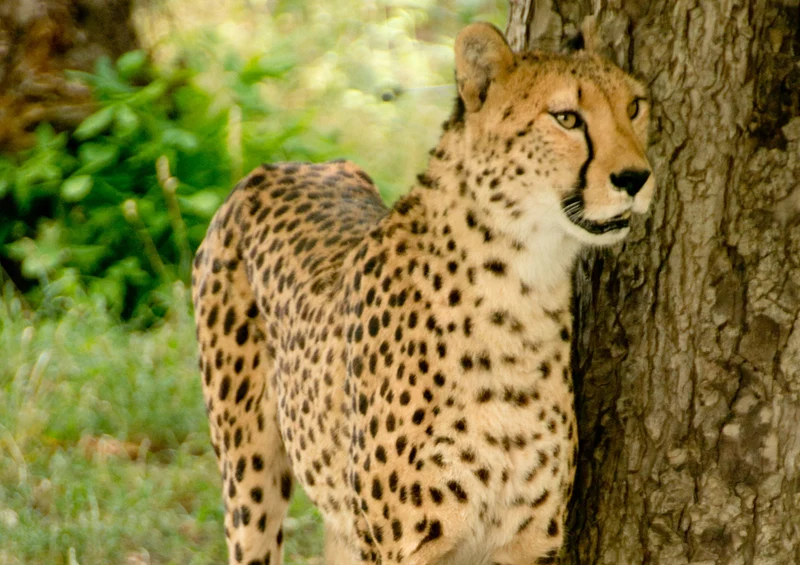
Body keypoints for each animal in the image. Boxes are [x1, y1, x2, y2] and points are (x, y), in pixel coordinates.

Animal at [191, 21, 654, 565]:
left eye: (634, 107)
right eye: (566, 118)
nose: (635, 178)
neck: (520, 287)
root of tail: (285, 165)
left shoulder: (528, 543)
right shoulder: (406, 545)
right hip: (249, 479)